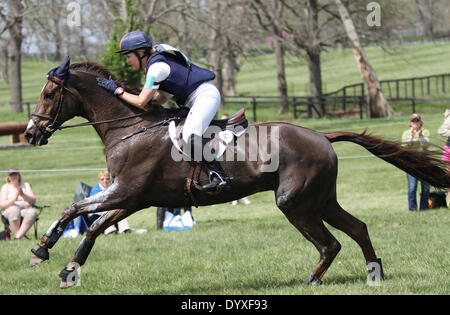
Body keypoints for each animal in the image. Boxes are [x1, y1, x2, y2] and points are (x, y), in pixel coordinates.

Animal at [25, 58, 450, 290]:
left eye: (48, 94)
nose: (30, 133)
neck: (129, 127)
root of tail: (322, 135)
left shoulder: (125, 192)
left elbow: (74, 210)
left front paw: (41, 249)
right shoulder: (134, 198)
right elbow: (95, 226)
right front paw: (68, 269)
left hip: (295, 203)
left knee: (330, 244)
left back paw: (312, 281)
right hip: (321, 199)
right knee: (358, 228)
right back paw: (374, 274)